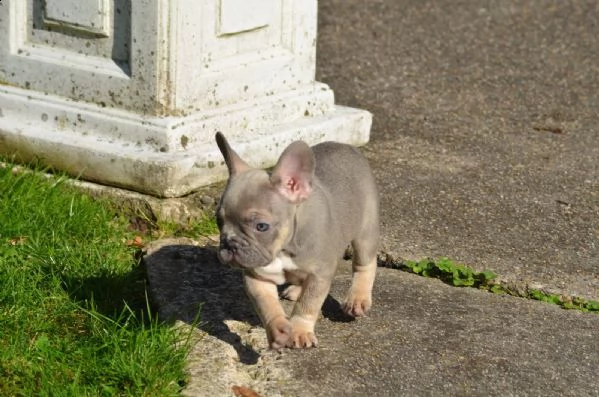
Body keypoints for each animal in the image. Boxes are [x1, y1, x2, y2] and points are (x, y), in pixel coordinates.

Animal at [216, 132, 380, 346]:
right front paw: (278, 329)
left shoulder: (319, 274)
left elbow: (308, 303)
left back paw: (358, 298)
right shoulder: (258, 277)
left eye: (261, 226)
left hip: (365, 232)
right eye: (218, 221)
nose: (229, 243)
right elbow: (266, 305)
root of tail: (347, 146)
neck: (284, 248)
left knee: (364, 264)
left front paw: (300, 331)